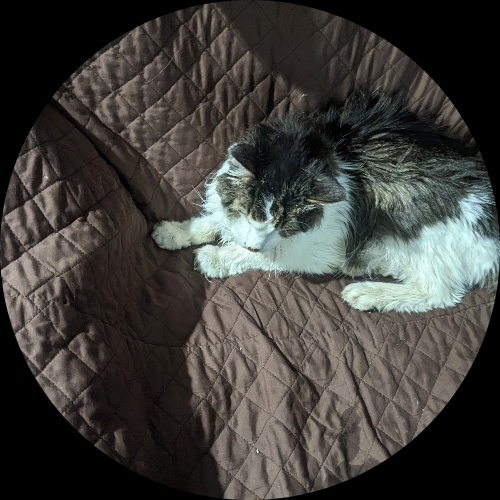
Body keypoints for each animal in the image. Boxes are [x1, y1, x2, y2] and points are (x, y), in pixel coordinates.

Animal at [152, 89, 499, 313]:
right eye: (251, 213)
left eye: (283, 225)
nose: (253, 244)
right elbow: (211, 222)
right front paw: (172, 232)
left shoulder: (319, 252)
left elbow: (266, 256)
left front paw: (214, 258)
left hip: (419, 232)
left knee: (441, 293)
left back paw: (365, 293)